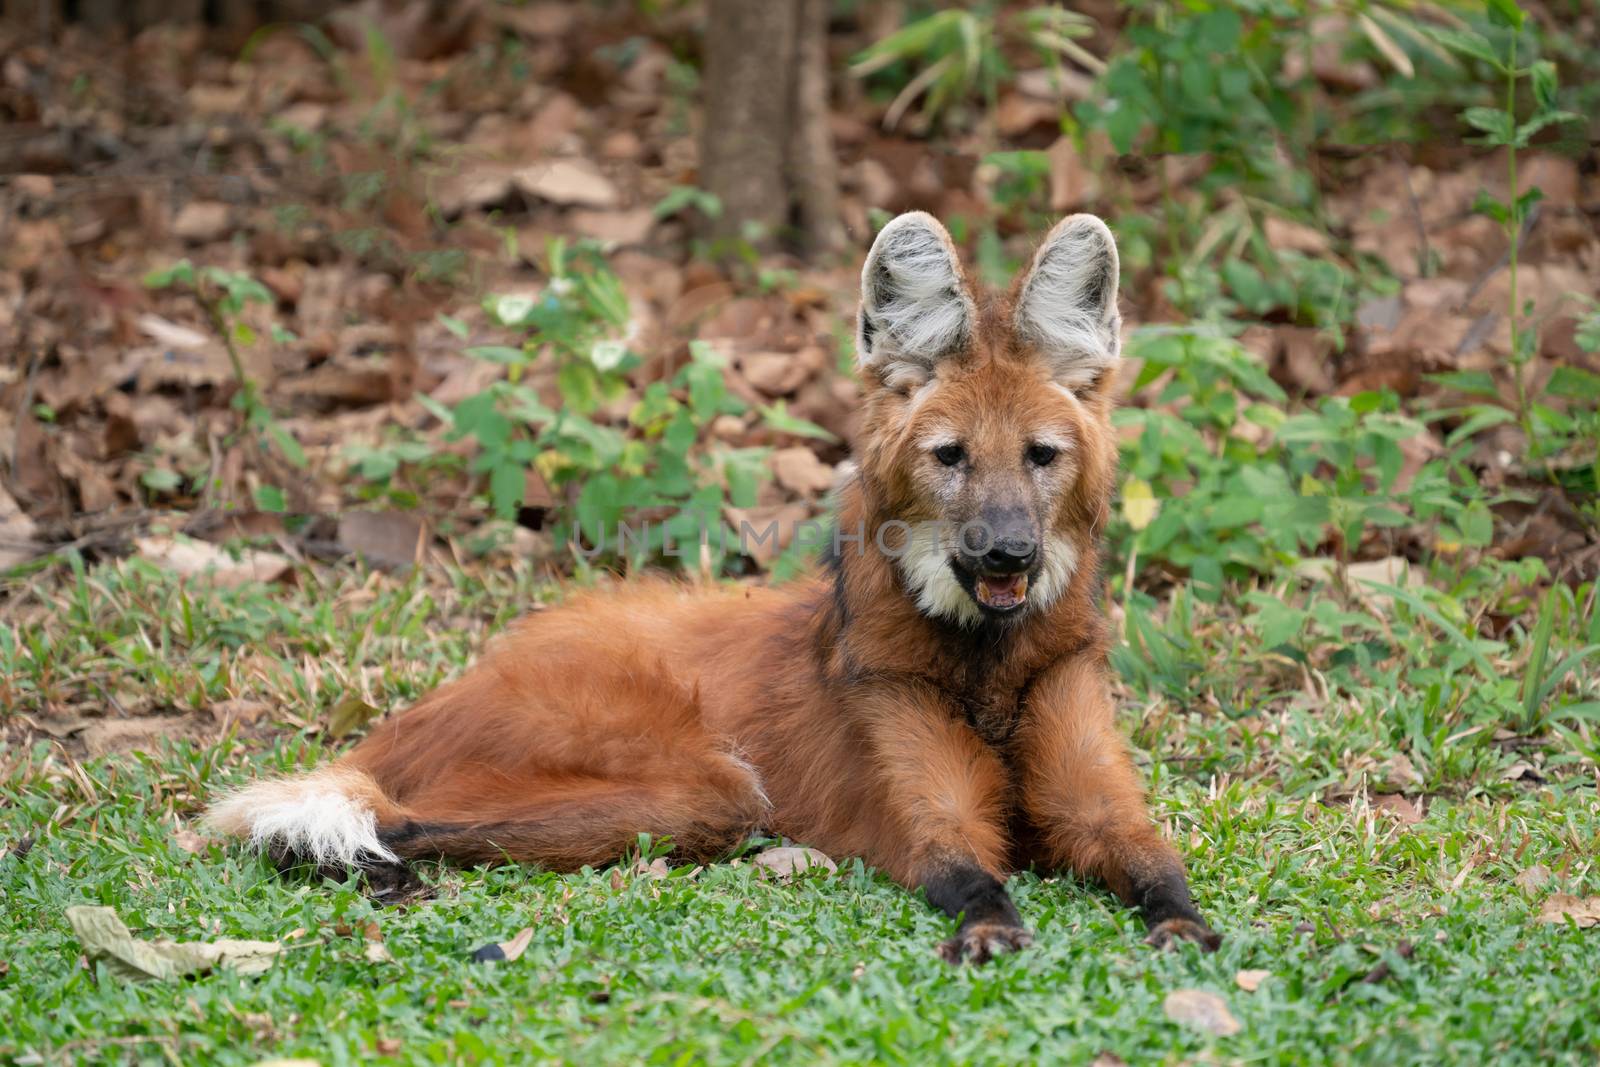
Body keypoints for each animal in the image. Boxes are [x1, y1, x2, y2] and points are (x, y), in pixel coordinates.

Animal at [209, 212, 1209, 966]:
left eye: (1041, 456)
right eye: (951, 457)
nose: (1006, 554)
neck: (988, 663)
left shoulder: (1090, 786)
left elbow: (1150, 854)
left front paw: (1184, 926)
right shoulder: (921, 803)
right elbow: (961, 860)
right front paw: (991, 928)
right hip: (705, 786)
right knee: (373, 815)